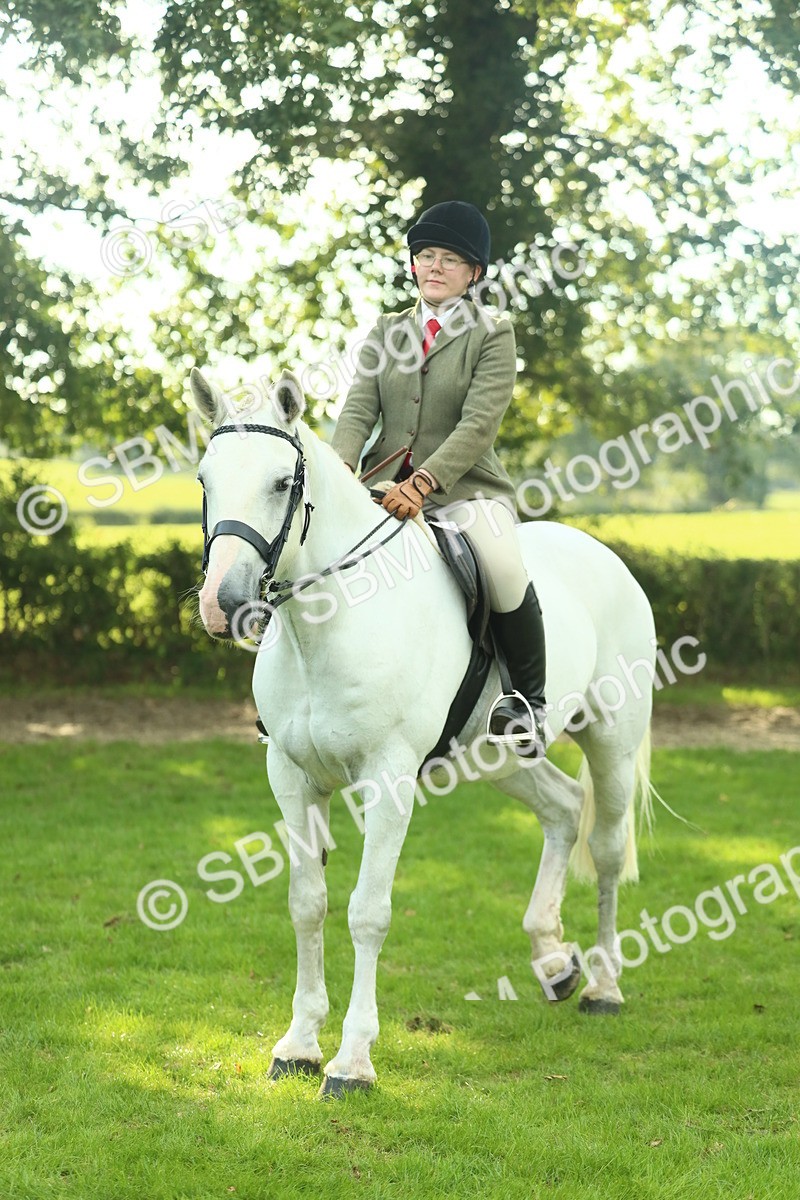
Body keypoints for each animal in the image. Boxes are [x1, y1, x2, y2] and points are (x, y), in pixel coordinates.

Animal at [191, 366, 657, 1099]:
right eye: (204, 478)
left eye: (282, 482)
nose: (225, 605)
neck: (329, 623)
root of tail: (605, 556)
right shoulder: (292, 779)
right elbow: (306, 903)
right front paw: (298, 1044)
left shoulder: (387, 781)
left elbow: (367, 911)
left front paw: (351, 1061)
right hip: (500, 757)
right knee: (561, 809)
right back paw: (553, 960)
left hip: (612, 742)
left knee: (606, 848)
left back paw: (603, 986)